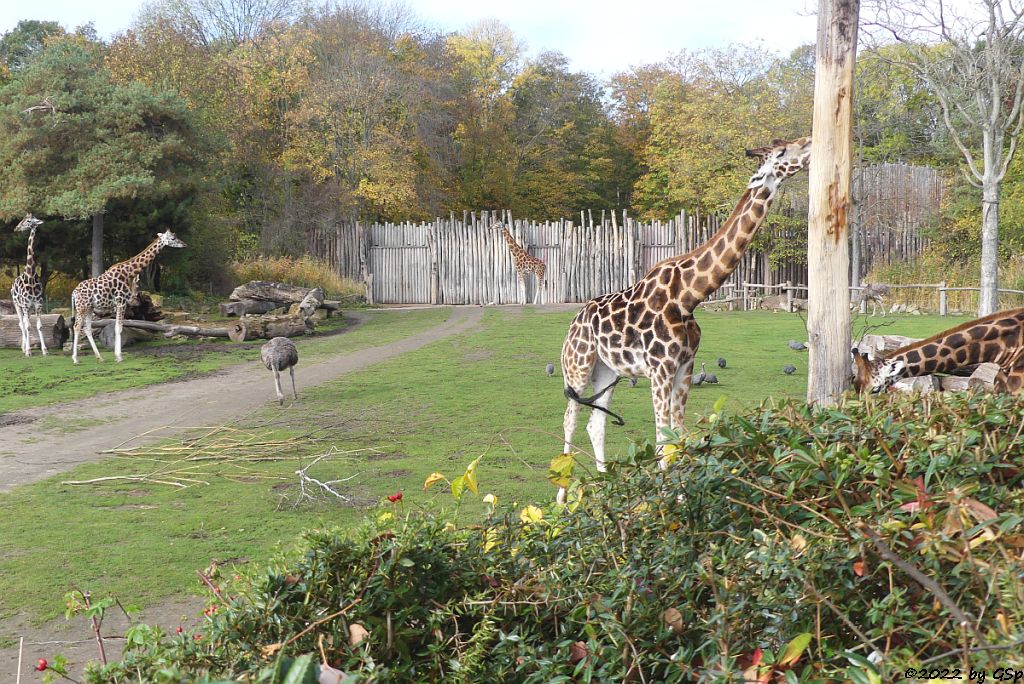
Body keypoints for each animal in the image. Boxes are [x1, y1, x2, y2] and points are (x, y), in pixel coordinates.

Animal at [10, 216, 48, 358]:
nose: (16, 228)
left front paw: (44, 350)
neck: (30, 276)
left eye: (28, 221)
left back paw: (23, 347)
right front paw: (29, 351)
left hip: (29, 309)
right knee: (22, 324)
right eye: (24, 219)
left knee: (26, 323)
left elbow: (39, 326)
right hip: (17, 305)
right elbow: (27, 326)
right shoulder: (25, 305)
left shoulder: (37, 305)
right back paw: (24, 348)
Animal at [71, 231, 187, 362]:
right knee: (76, 327)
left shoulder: (119, 303)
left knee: (87, 328)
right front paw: (119, 356)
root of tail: (74, 293)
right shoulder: (121, 302)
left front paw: (117, 355)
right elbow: (119, 327)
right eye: (173, 238)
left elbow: (118, 326)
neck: (129, 272)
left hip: (90, 307)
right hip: (82, 307)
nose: (184, 244)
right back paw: (75, 359)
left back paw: (99, 357)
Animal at [561, 136, 806, 499]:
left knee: (596, 424)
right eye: (782, 151)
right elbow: (663, 441)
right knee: (570, 419)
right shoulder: (660, 369)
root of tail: (573, 323)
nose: (809, 143)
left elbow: (678, 437)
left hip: (606, 371)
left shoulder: (685, 366)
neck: (689, 296)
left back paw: (607, 491)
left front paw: (680, 500)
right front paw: (667, 506)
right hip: (577, 367)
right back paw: (562, 500)